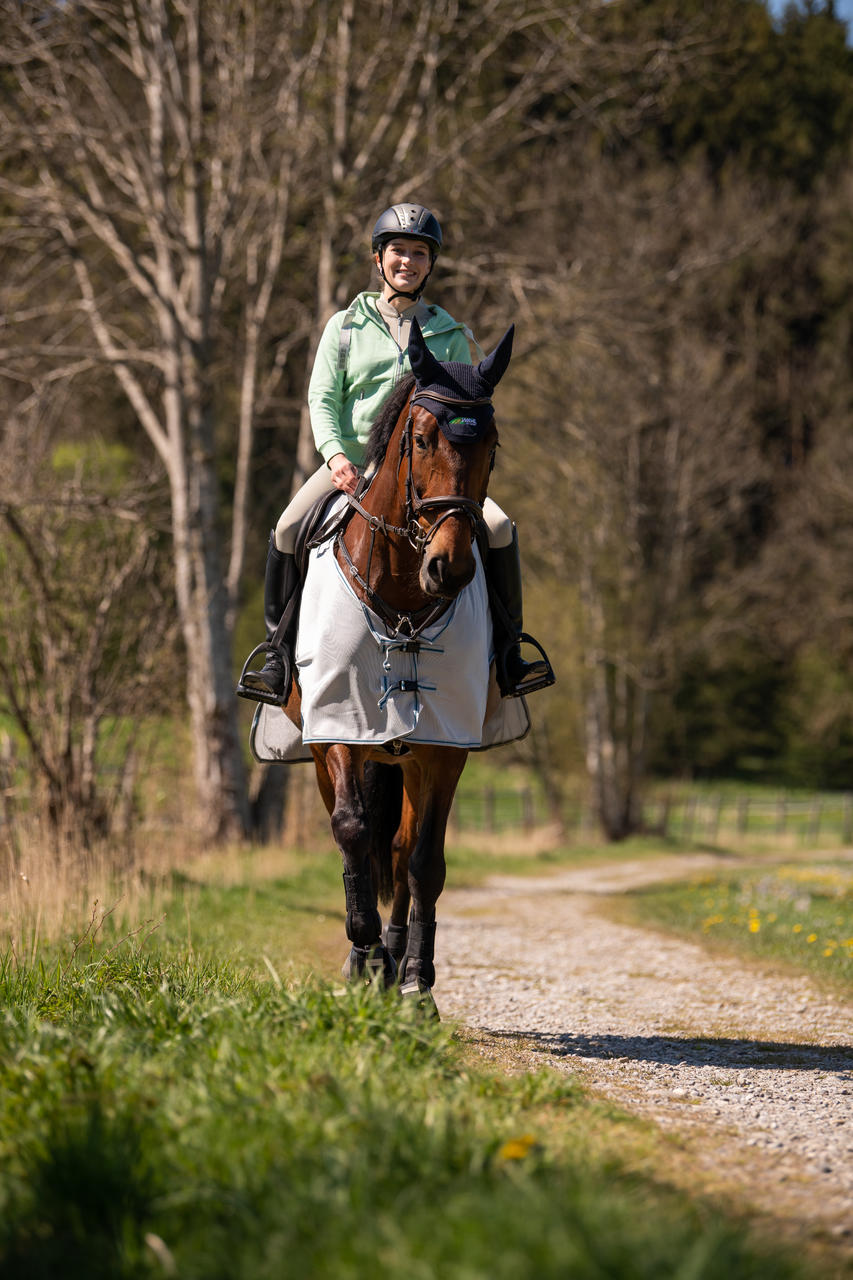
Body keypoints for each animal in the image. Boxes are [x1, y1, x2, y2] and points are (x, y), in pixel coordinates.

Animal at [284, 317, 512, 1008]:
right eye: (419, 436)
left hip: (405, 756)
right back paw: (370, 959)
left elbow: (422, 862)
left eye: (492, 444)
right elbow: (353, 832)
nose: (450, 568)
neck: (404, 597)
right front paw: (363, 959)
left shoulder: (442, 747)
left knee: (404, 848)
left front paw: (416, 983)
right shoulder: (338, 730)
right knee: (358, 835)